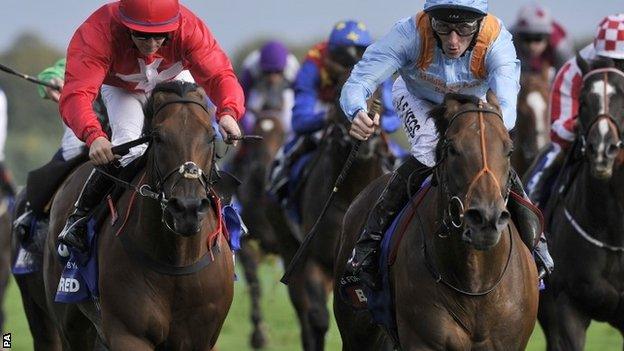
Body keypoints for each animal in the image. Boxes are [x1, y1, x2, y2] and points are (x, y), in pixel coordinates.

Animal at [42, 81, 234, 350]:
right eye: (159, 137)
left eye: (210, 136)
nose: (187, 208)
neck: (177, 260)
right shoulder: (128, 334)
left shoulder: (201, 338)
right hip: (71, 319)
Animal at [334, 92, 540, 350]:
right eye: (452, 148)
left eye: (509, 150)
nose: (486, 218)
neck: (475, 282)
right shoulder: (424, 340)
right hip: (356, 329)